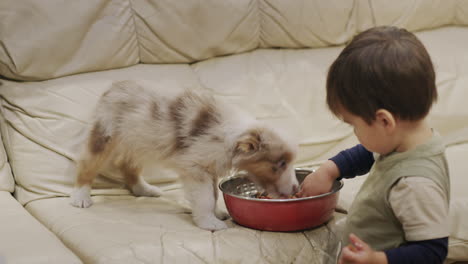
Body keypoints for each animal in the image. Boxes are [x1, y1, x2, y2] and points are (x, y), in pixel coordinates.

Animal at [70, 81, 296, 231]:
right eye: (281, 163)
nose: (296, 189)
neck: (229, 136)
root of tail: (112, 88)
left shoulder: (210, 167)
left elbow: (214, 194)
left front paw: (217, 213)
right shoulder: (196, 168)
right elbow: (205, 197)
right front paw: (210, 222)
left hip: (137, 142)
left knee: (127, 165)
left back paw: (145, 190)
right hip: (105, 136)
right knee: (87, 165)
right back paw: (80, 197)